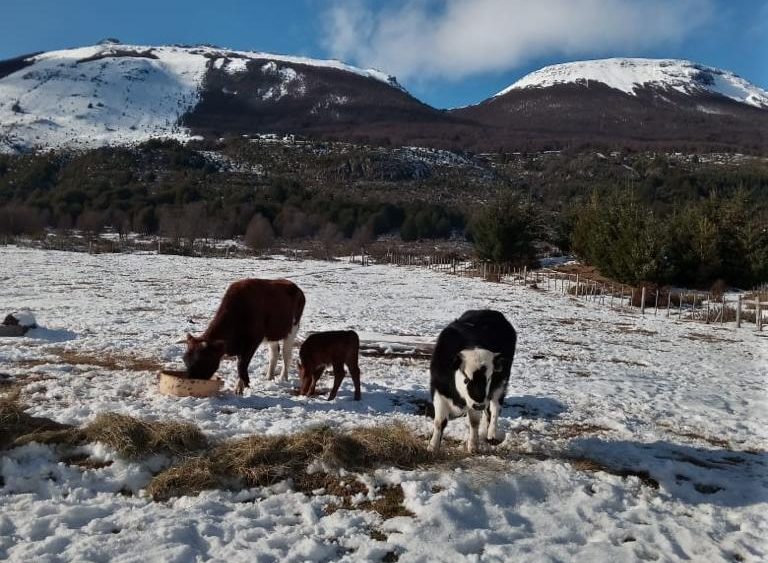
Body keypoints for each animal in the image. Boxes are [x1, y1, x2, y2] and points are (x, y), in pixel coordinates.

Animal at [426, 308, 516, 454]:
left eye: (489, 378)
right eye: (466, 379)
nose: (479, 405)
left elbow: (474, 422)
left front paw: (473, 445)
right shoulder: (439, 391)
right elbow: (439, 421)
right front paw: (433, 446)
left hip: (500, 386)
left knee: (495, 408)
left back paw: (491, 433)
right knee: (488, 411)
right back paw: (485, 431)